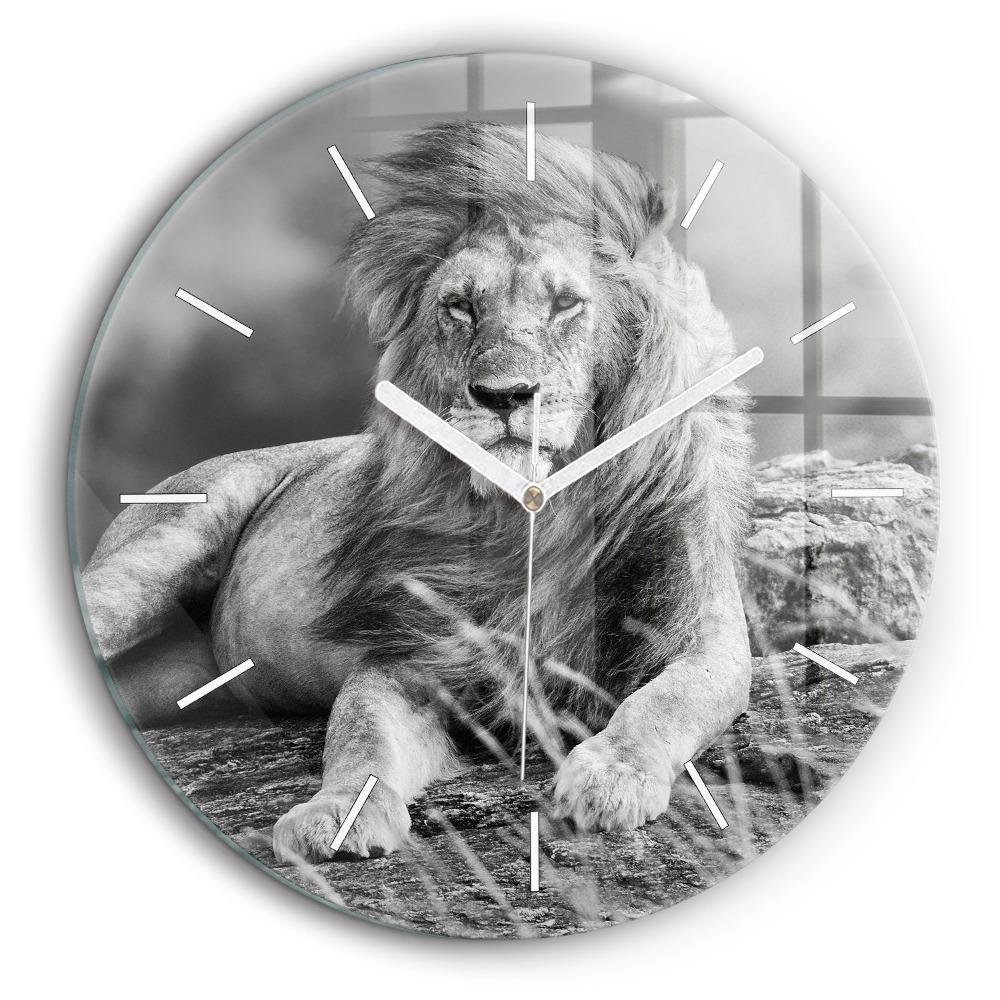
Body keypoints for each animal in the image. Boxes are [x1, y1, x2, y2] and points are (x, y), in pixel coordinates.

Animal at [80, 120, 753, 863]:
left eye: (565, 303)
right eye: (459, 307)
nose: (504, 395)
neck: (536, 518)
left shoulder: (703, 633)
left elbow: (669, 700)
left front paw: (611, 778)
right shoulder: (408, 660)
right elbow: (360, 736)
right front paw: (337, 813)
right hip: (167, 546)